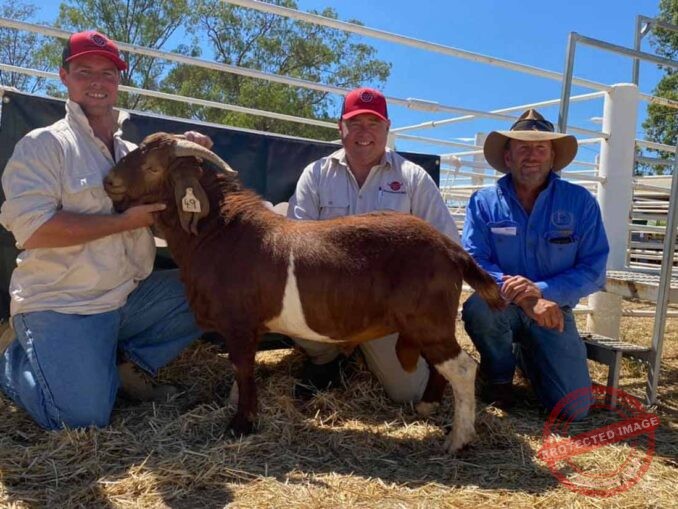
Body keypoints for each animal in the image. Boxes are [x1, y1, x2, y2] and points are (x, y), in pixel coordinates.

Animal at [104, 132, 504, 453]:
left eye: (152, 167)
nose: (109, 181)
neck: (220, 233)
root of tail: (451, 248)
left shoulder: (239, 323)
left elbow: (243, 369)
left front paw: (240, 424)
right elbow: (239, 370)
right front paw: (237, 409)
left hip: (427, 319)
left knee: (463, 368)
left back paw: (458, 440)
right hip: (425, 324)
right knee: (442, 366)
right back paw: (427, 406)